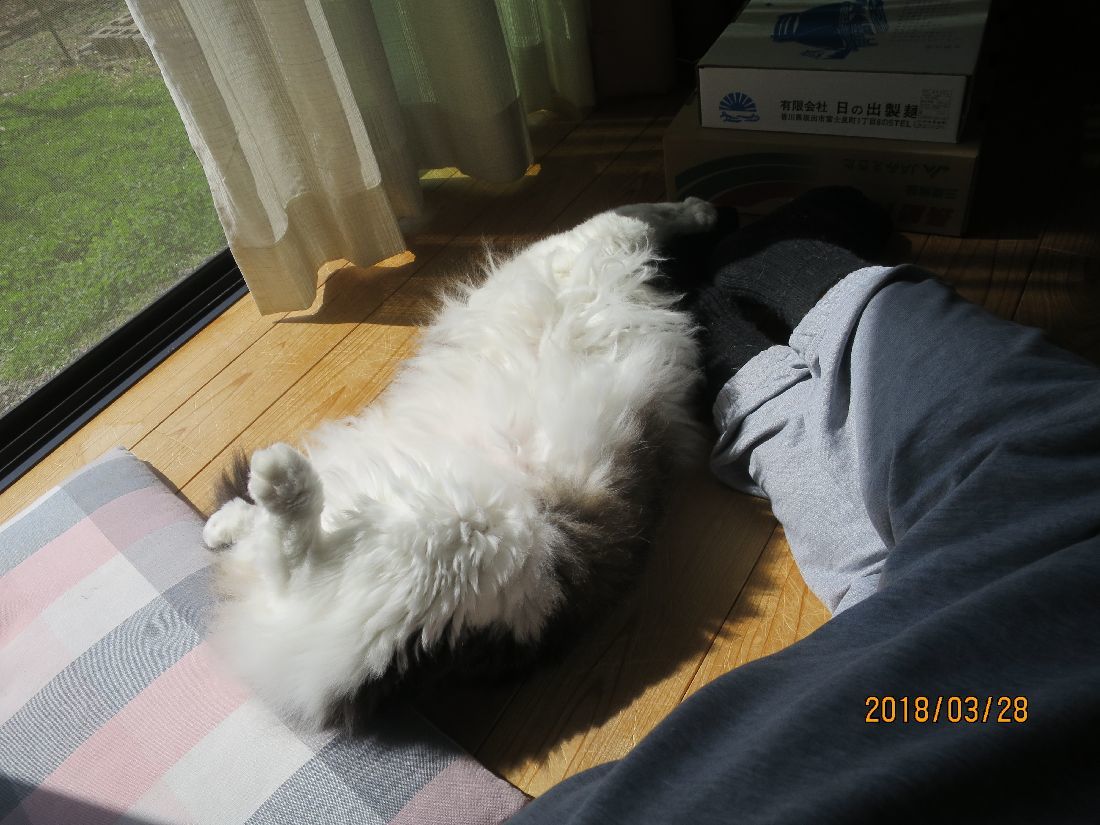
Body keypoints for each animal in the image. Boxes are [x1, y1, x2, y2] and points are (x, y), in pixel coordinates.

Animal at [202, 197, 717, 729]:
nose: (716, 213)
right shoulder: (579, 243)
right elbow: (637, 213)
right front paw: (695, 211)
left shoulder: (586, 241)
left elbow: (636, 215)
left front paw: (695, 211)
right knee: (271, 547)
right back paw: (241, 508)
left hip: (450, 536)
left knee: (288, 555)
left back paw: (273, 481)